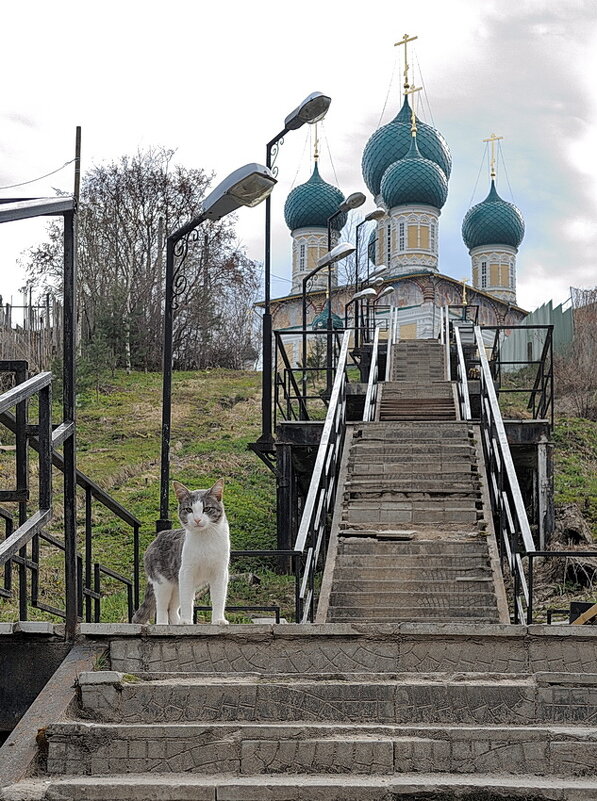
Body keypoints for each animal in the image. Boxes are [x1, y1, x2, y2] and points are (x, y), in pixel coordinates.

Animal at [132, 476, 229, 624]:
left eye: (207, 508)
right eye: (189, 509)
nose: (197, 519)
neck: (205, 539)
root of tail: (159, 536)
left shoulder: (220, 572)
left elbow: (219, 598)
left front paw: (218, 620)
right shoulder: (186, 572)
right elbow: (187, 600)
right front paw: (186, 622)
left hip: (176, 583)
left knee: (172, 608)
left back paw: (177, 622)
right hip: (162, 582)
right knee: (162, 606)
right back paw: (163, 624)